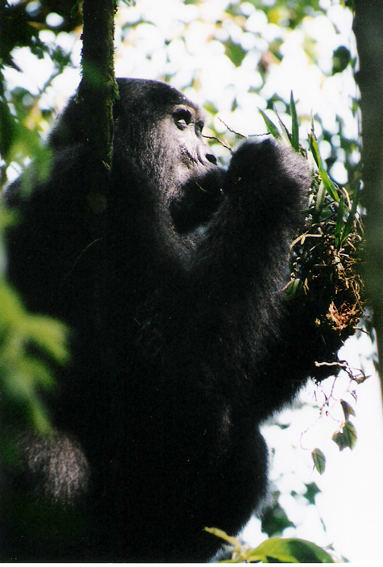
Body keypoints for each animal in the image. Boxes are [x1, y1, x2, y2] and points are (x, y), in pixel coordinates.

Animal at [1, 77, 330, 560]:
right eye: (181, 123)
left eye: (200, 129)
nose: (211, 158)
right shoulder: (104, 184)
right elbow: (172, 379)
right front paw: (270, 177)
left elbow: (240, 387)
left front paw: (331, 291)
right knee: (42, 451)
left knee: (247, 447)